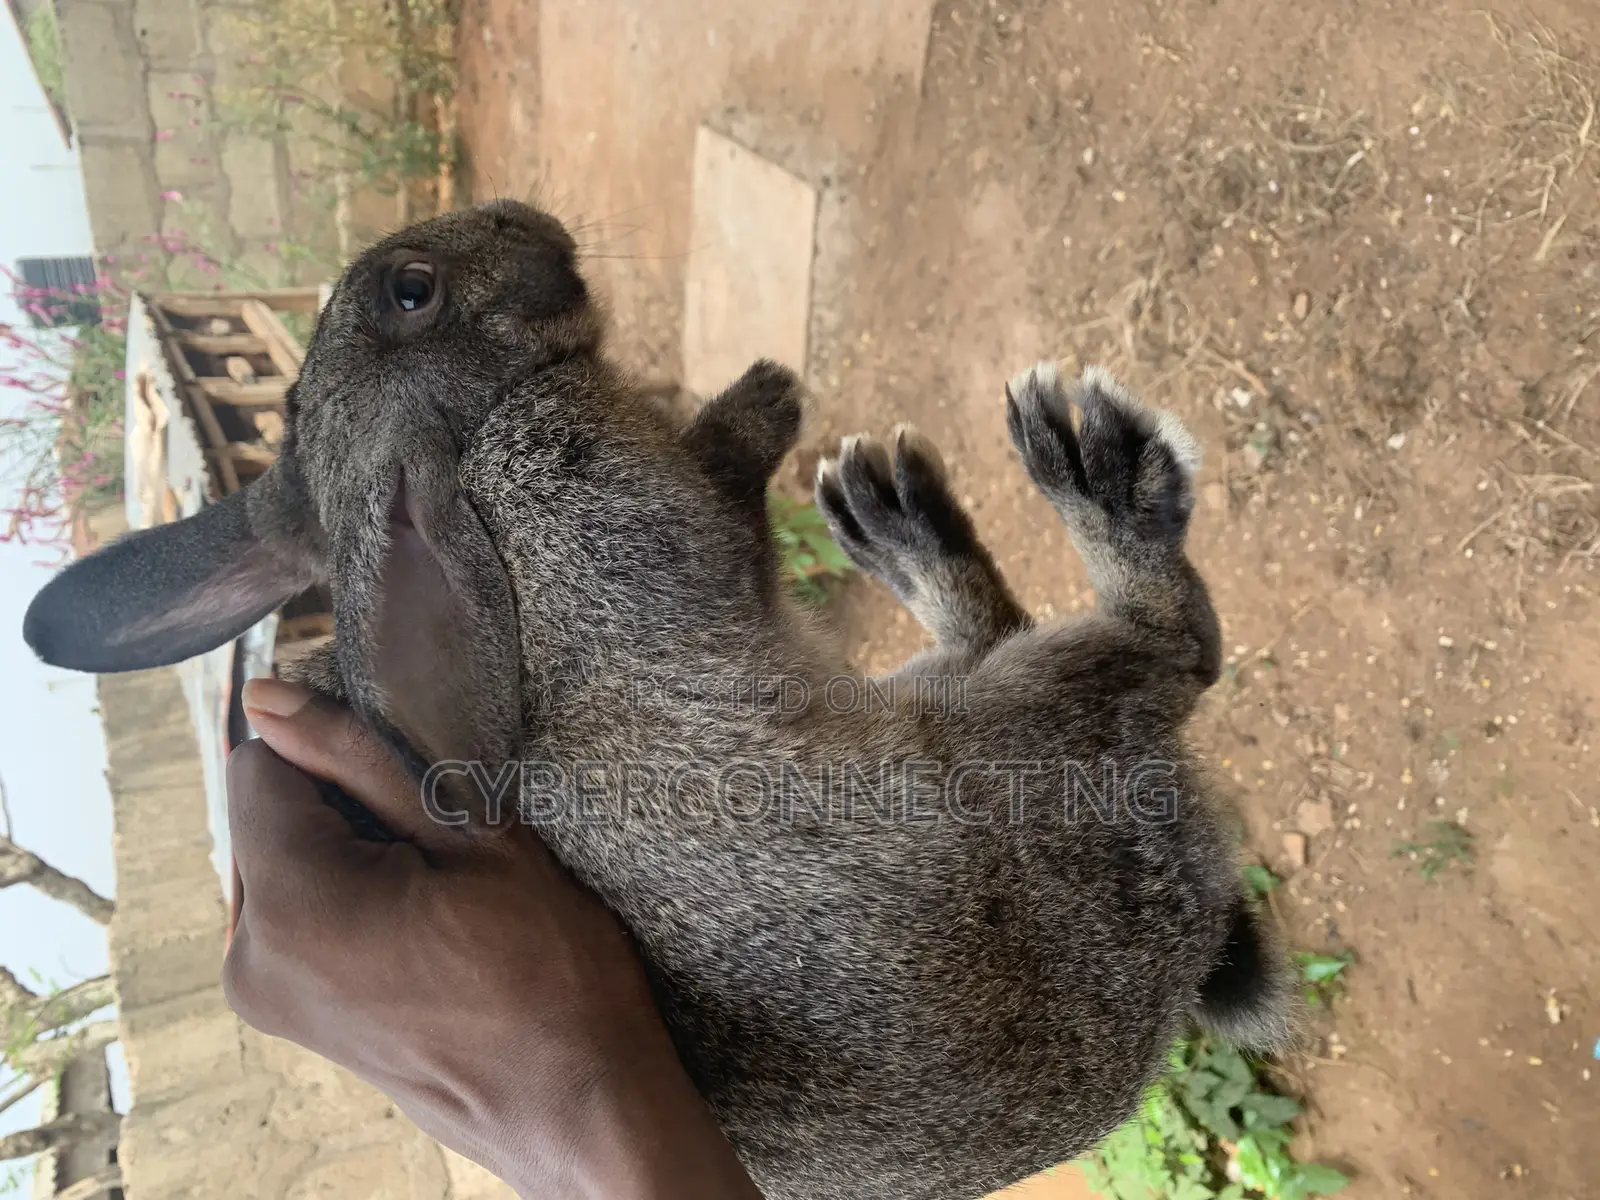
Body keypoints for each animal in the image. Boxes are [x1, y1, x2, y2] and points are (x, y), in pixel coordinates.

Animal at [24, 199, 1291, 1200]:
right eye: (413, 289)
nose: (523, 217)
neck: (470, 444)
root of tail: (1186, 948)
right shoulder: (611, 494)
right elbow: (721, 476)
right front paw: (768, 394)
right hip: (1033, 727)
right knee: (1171, 643)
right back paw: (1092, 474)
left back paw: (895, 516)